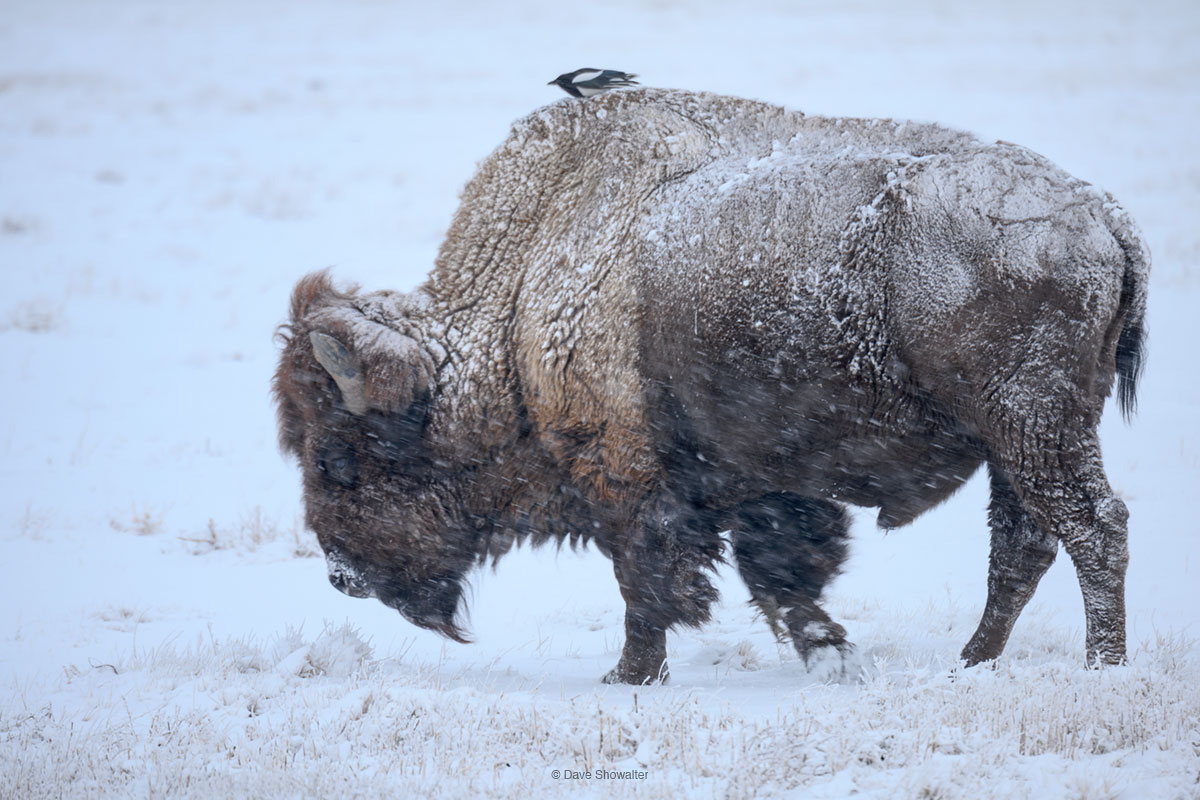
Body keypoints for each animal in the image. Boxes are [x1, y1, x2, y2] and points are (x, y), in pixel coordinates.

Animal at [272, 89, 1142, 690]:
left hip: (1033, 427)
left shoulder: (631, 478)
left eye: (339, 458)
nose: (342, 576)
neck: (526, 283)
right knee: (1024, 545)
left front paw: (628, 676)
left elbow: (648, 579)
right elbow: (777, 573)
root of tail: (1103, 214)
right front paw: (831, 654)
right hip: (1018, 442)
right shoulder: (757, 479)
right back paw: (973, 661)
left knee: (1093, 527)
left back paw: (1102, 667)